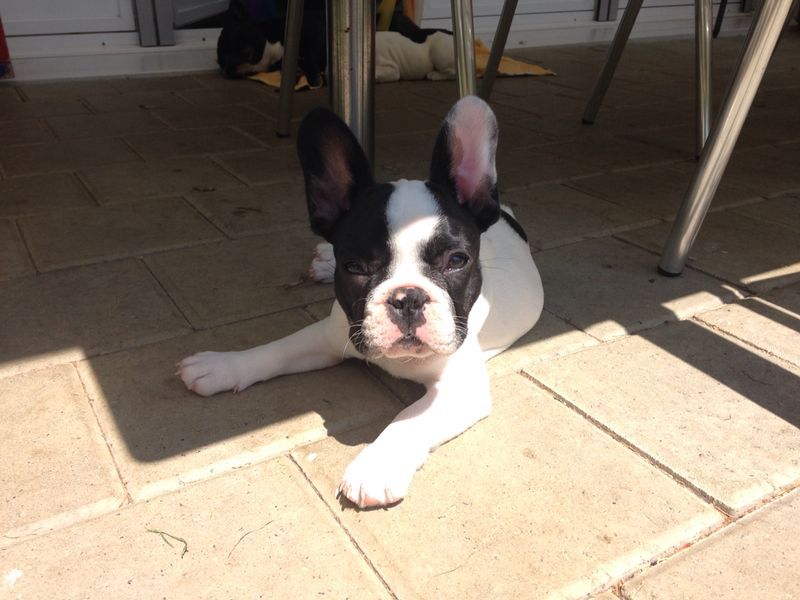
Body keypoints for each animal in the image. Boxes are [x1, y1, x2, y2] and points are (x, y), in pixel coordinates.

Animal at [177, 96, 544, 508]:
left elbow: (410, 418)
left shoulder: (459, 387)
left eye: (456, 261)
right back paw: (321, 261)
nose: (407, 298)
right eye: (354, 267)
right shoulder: (330, 334)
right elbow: (277, 349)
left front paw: (376, 466)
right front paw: (222, 366)